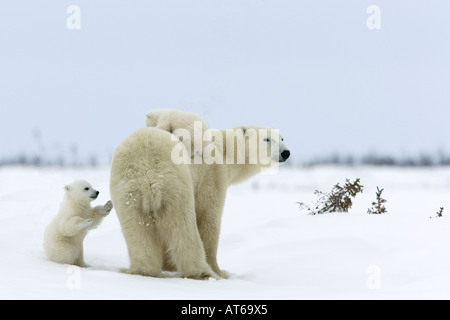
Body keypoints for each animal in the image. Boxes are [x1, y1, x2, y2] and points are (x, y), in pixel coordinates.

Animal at [110, 114, 290, 278]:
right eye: (267, 139)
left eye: (282, 138)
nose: (285, 152)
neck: (225, 152)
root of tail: (145, 169)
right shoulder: (212, 176)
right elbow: (208, 217)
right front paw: (221, 271)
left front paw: (169, 265)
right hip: (175, 184)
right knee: (183, 226)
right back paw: (203, 272)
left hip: (127, 193)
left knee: (136, 229)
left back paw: (143, 270)